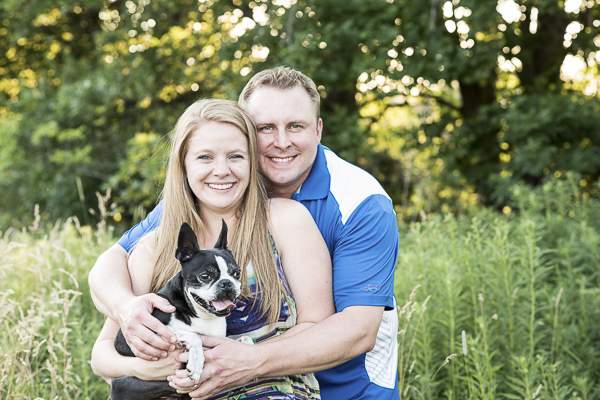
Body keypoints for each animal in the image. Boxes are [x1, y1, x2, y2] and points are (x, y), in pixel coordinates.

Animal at [110, 220, 242, 400]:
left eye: (237, 273)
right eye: (205, 276)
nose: (226, 283)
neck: (201, 315)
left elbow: (246, 340)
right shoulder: (150, 332)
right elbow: (193, 336)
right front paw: (196, 363)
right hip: (122, 383)